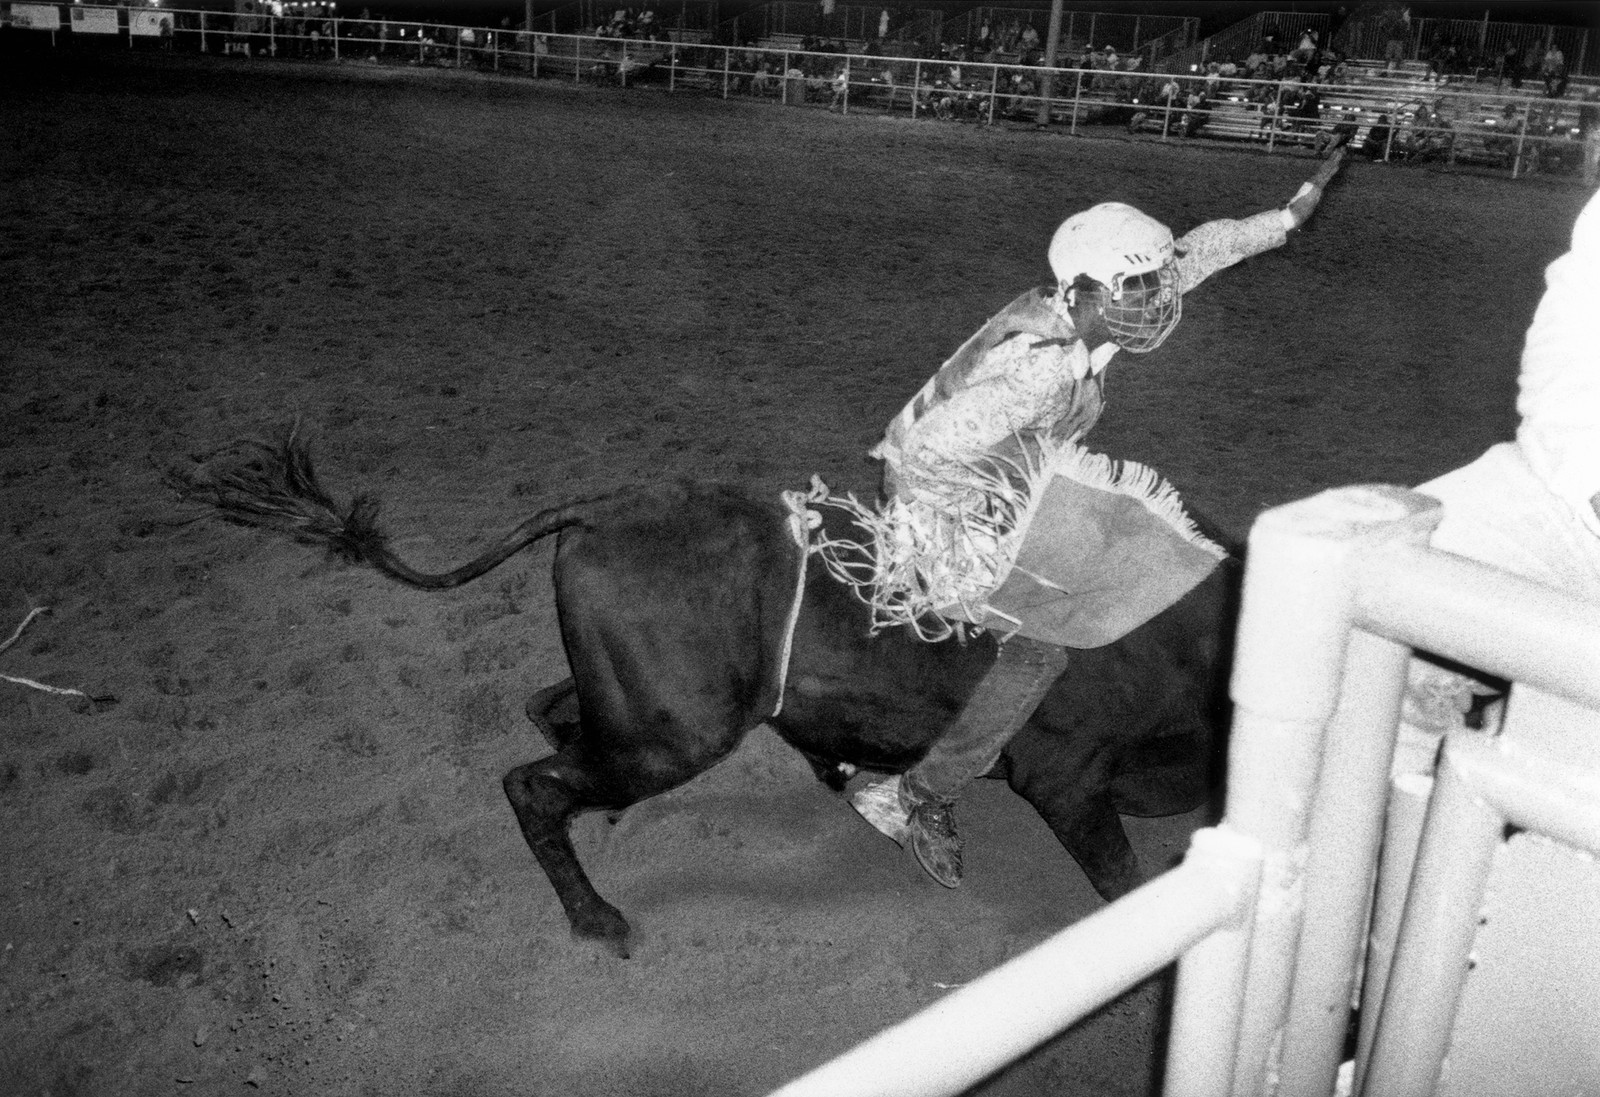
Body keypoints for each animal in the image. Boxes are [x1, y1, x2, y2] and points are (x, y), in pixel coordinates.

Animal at [181, 428, 1239, 958]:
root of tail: (603, 508)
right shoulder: (1069, 776)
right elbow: (1123, 880)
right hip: (675, 730)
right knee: (533, 783)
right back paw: (597, 918)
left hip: (640, 704)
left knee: (549, 715)